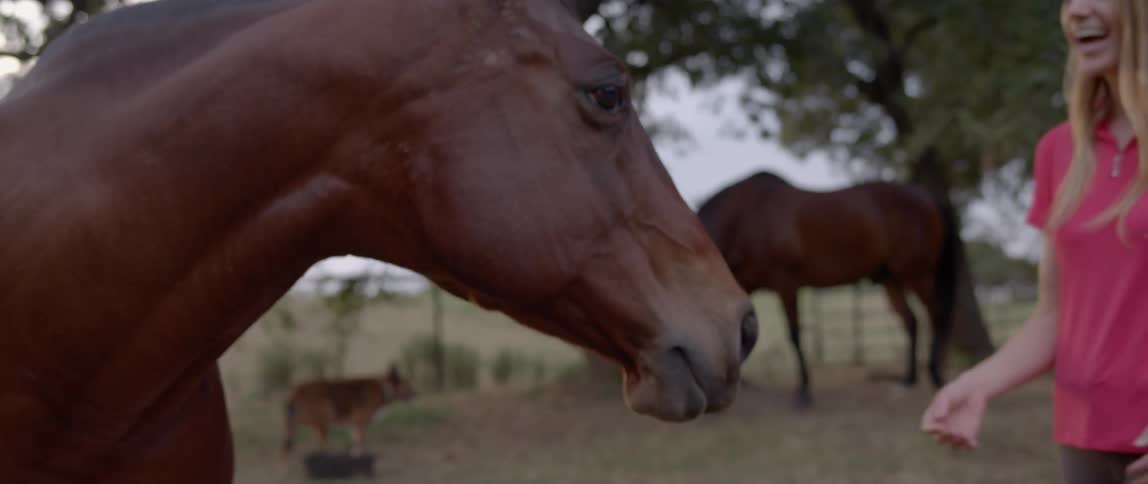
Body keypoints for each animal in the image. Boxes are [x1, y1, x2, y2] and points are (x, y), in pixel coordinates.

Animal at [696, 171, 960, 408]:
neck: (746, 216)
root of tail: (925, 197)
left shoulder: (786, 285)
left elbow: (794, 335)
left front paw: (804, 392)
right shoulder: (743, 286)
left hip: (918, 274)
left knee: (937, 316)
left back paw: (936, 375)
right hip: (892, 279)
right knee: (911, 320)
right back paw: (908, 379)